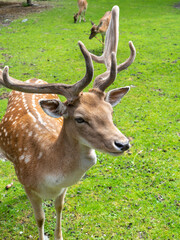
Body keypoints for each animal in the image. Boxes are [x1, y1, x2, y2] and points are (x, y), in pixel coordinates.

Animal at [0, 5, 135, 240]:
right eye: (80, 118)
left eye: (110, 111)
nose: (123, 143)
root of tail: (31, 80)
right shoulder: (29, 186)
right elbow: (40, 218)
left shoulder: (63, 189)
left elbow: (59, 208)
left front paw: (59, 235)